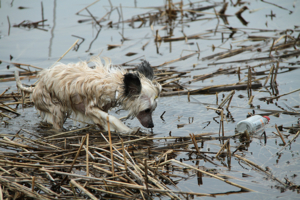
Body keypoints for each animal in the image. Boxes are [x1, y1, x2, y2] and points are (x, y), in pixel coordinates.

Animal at [15, 57, 162, 134]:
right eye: (147, 110)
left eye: (153, 110)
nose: (152, 125)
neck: (114, 86)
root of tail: (35, 88)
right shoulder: (91, 109)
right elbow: (113, 119)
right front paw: (127, 130)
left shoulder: (100, 110)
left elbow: (104, 122)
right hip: (56, 109)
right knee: (57, 123)